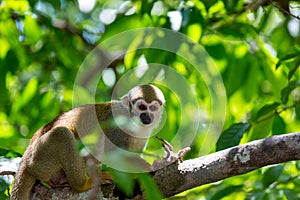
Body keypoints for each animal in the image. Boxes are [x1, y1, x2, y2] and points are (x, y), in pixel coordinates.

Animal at [11, 83, 165, 199]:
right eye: (141, 107)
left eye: (152, 108)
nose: (146, 116)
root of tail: (25, 161)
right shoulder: (118, 125)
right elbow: (114, 154)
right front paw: (151, 167)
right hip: (39, 159)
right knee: (62, 134)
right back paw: (81, 184)